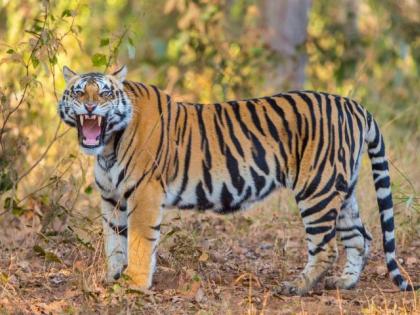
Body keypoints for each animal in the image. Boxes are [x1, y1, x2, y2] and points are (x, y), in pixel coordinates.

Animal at [58, 65, 416, 296]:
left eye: (105, 93)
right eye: (79, 91)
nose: (90, 106)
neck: (107, 146)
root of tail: (353, 105)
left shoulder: (144, 193)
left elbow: (139, 242)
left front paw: (134, 284)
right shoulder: (111, 198)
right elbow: (114, 242)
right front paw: (112, 278)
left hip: (317, 188)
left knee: (326, 247)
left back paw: (296, 287)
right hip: (341, 188)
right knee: (360, 236)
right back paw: (344, 283)